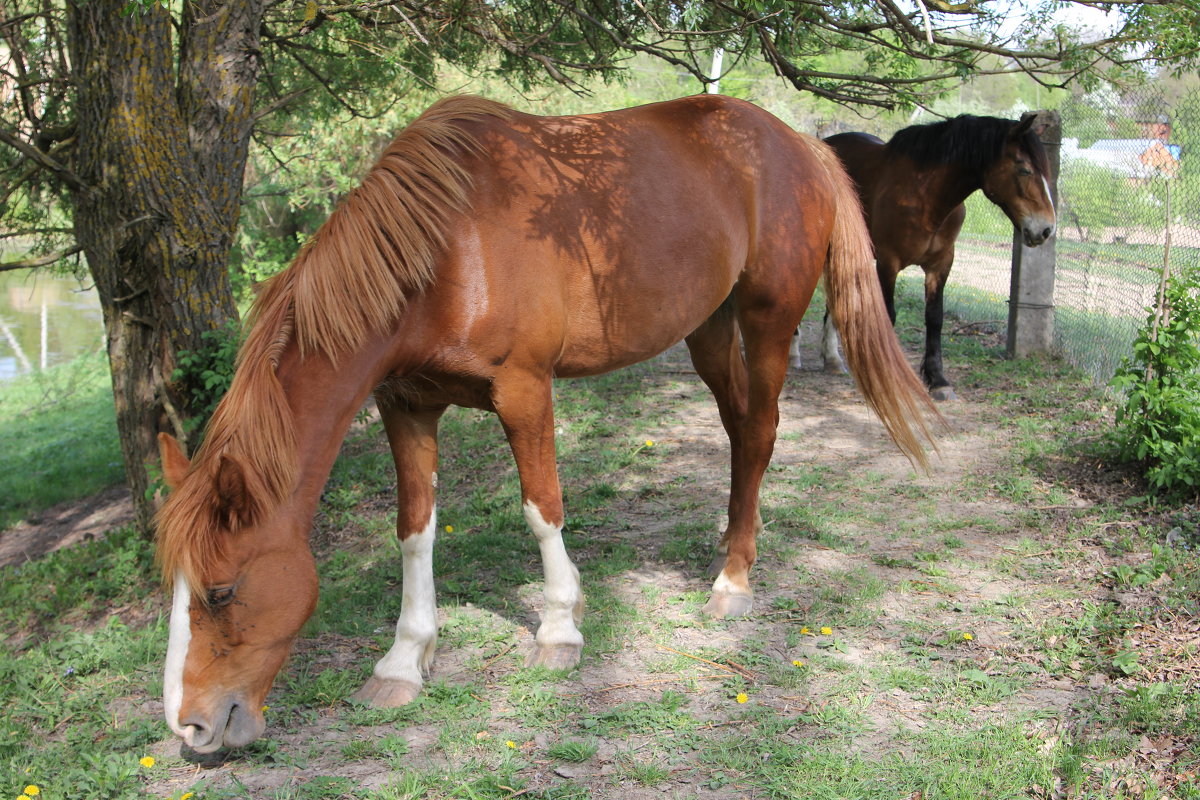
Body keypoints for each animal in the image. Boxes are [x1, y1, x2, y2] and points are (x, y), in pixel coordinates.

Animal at [152, 94, 936, 753]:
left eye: (222, 591)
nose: (191, 727)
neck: (448, 253)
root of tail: (800, 143)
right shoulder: (406, 406)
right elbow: (414, 532)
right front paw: (404, 660)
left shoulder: (524, 391)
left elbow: (542, 507)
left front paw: (560, 627)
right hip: (709, 328)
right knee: (742, 431)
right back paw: (730, 543)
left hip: (768, 320)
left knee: (764, 430)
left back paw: (734, 580)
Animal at [792, 112, 1056, 400]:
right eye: (1024, 169)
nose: (1046, 229)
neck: (925, 195)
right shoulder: (888, 263)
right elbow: (889, 316)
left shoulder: (940, 265)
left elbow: (935, 318)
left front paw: (938, 379)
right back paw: (794, 354)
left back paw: (832, 359)